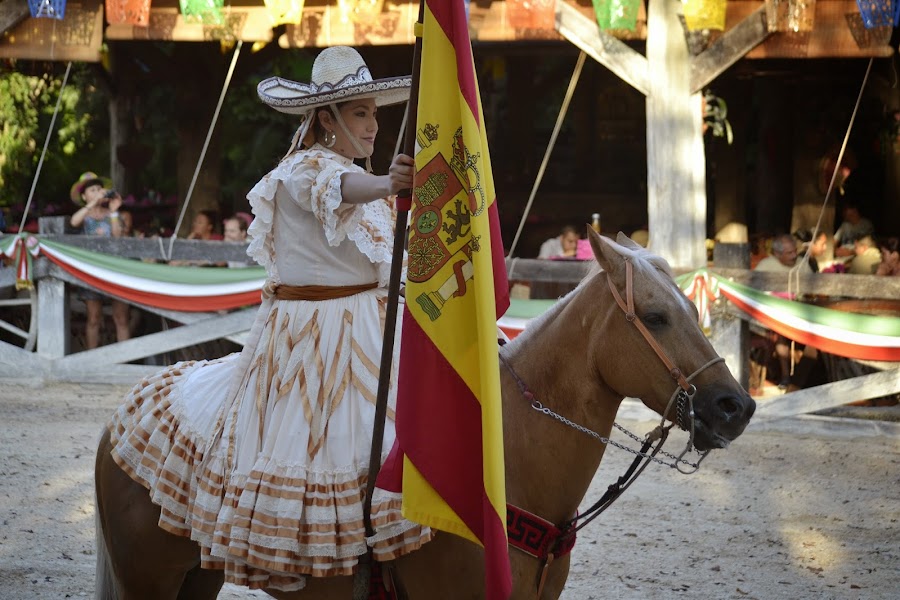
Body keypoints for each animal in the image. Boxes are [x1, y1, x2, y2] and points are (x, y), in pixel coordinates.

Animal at [93, 229, 752, 596]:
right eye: (656, 316)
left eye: (692, 308)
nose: (735, 406)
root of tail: (121, 415)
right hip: (146, 580)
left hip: (195, 578)